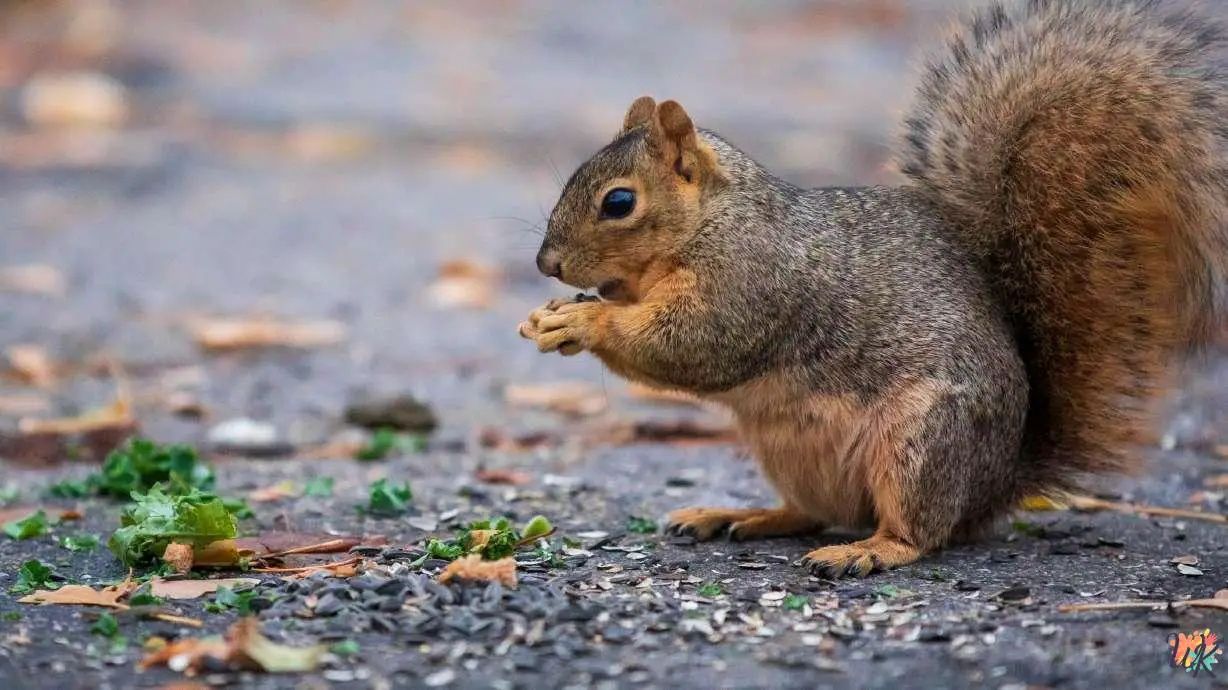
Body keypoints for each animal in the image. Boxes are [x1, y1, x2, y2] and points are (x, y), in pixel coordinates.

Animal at [517, 0, 1228, 577]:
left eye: (619, 202)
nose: (547, 264)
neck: (713, 222)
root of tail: (997, 483)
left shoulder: (751, 284)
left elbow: (692, 346)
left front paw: (580, 322)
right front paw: (552, 317)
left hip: (922, 439)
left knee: (919, 531)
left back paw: (869, 550)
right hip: (789, 450)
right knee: (812, 510)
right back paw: (741, 516)